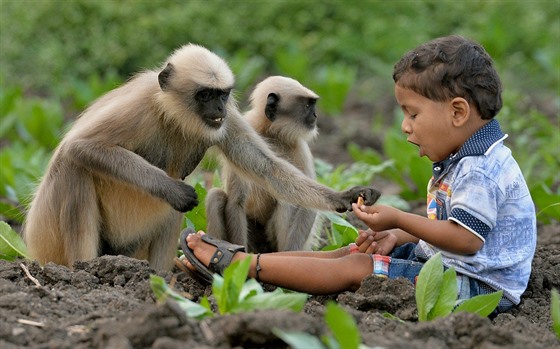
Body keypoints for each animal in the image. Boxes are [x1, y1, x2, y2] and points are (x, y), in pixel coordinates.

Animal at [206, 75, 322, 250]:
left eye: (313, 105)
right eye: (308, 105)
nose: (315, 116)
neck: (271, 133)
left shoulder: (300, 148)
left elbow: (307, 203)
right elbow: (236, 200)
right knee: (216, 196)